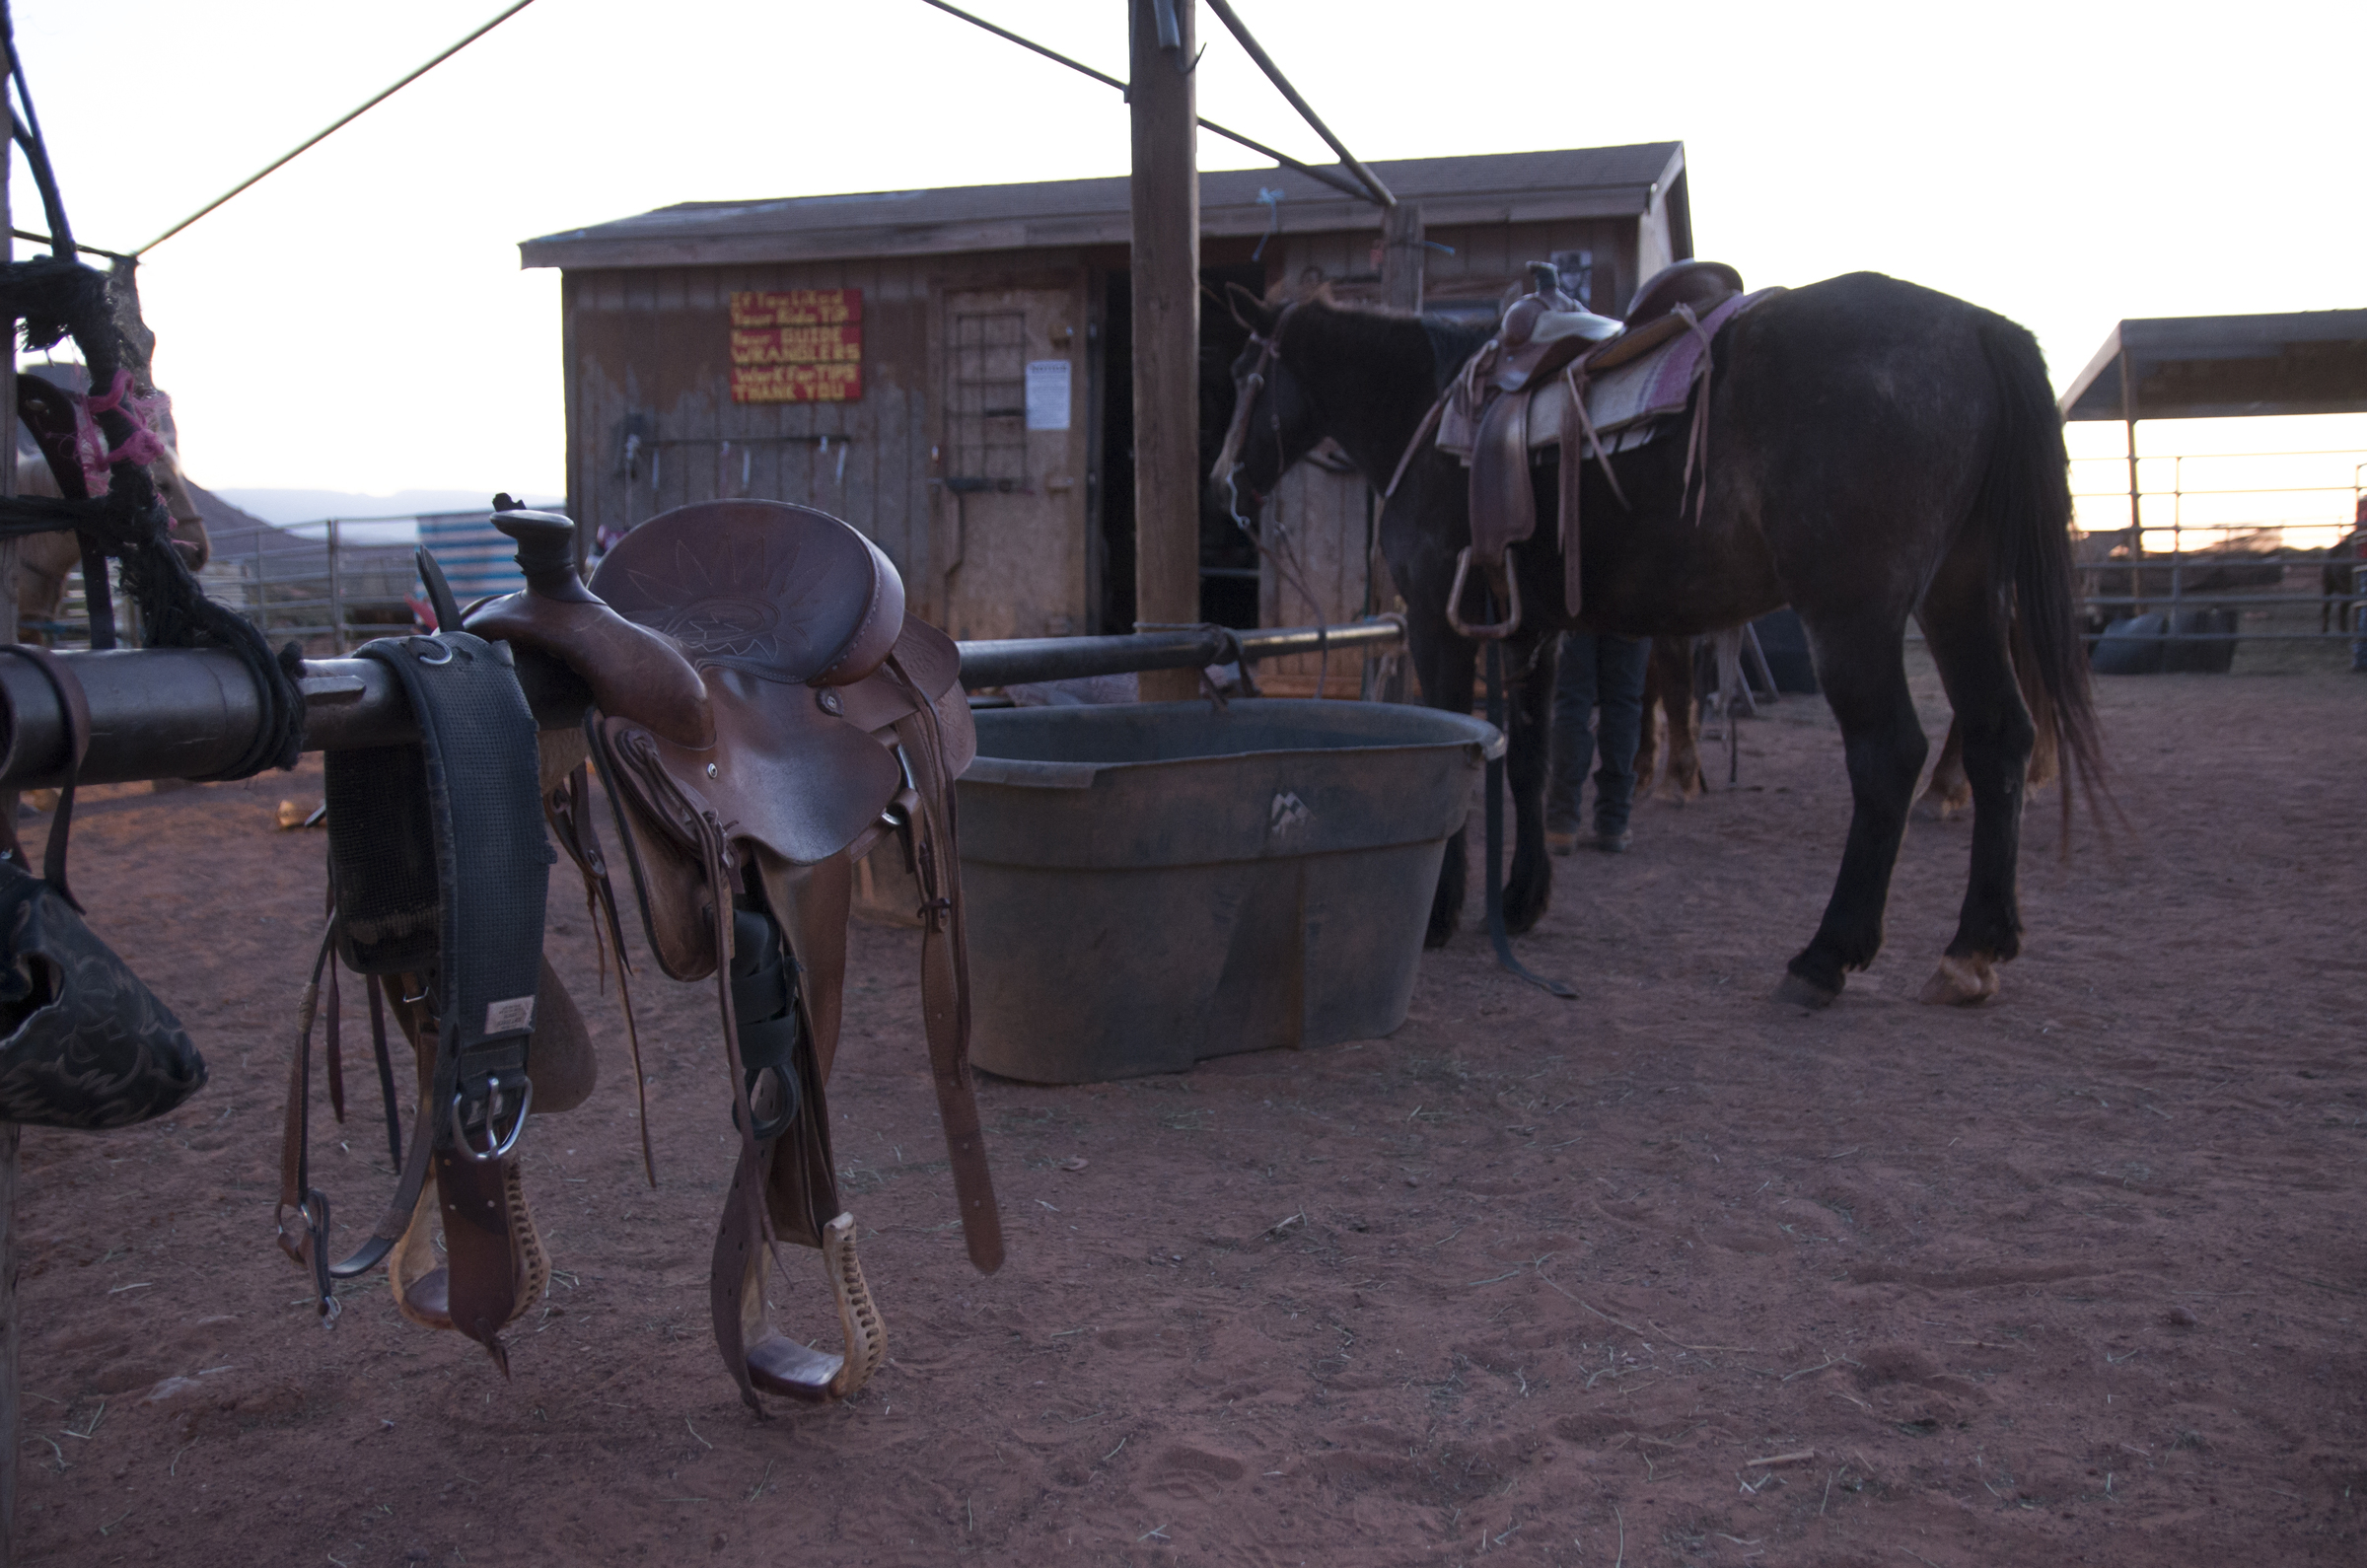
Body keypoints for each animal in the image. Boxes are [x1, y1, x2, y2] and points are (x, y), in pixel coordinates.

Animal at [1209, 272, 2102, 1007]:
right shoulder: (1531, 629)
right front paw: (1521, 898)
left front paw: (1439, 910)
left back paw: (1825, 955)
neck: (1429, 419)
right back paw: (1975, 946)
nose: (1223, 482)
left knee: (1888, 756)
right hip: (1963, 596)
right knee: (1999, 737)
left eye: (1242, 374)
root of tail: (1978, 328)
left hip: (1854, 614)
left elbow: (1460, 756)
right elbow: (1527, 760)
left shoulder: (1438, 621)